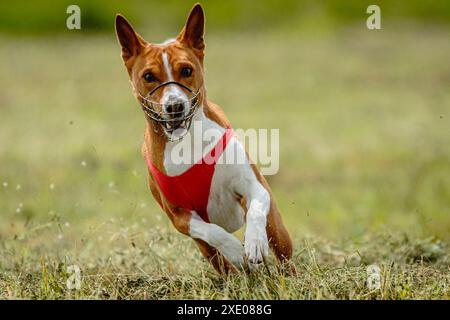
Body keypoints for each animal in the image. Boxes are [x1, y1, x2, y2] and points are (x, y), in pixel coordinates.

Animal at [114, 3, 294, 272]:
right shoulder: (179, 216)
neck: (186, 140)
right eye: (148, 77)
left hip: (277, 231)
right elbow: (212, 232)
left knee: (282, 252)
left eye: (186, 70)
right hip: (206, 250)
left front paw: (254, 243)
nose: (175, 106)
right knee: (222, 262)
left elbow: (256, 209)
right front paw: (234, 249)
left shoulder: (254, 186)